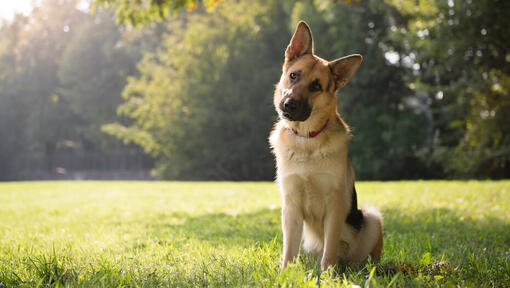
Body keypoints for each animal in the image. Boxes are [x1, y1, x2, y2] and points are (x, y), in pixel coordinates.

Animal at [270, 21, 382, 272]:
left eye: (316, 86)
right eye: (293, 76)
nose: (288, 105)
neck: (306, 140)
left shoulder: (335, 205)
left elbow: (329, 247)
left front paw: (328, 274)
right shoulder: (290, 206)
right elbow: (288, 250)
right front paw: (284, 273)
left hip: (372, 218)